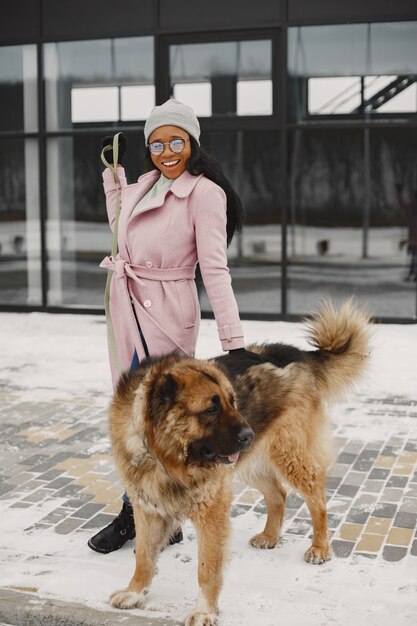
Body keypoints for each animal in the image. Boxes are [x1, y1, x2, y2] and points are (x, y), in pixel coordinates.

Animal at [105, 300, 368, 620]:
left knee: (316, 496)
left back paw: (319, 547)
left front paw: (205, 611)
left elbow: (206, 568)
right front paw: (135, 592)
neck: (164, 457)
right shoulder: (147, 507)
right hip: (247, 462)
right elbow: (143, 557)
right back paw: (270, 536)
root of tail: (297, 353)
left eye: (233, 402)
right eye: (211, 410)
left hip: (288, 453)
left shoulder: (212, 509)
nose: (248, 434)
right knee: (278, 494)